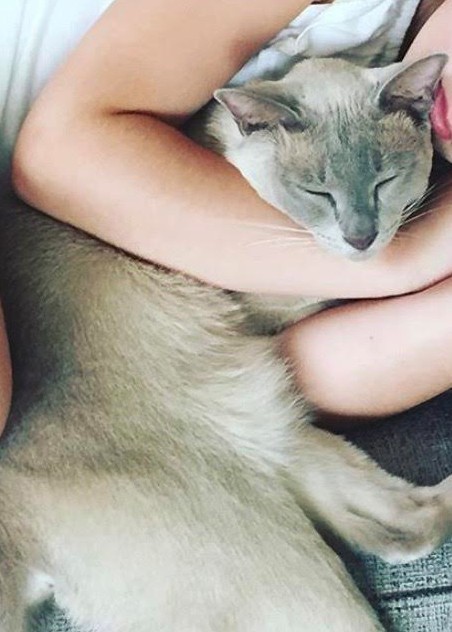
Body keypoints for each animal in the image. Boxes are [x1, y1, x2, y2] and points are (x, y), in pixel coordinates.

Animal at [0, 54, 450, 632]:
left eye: (383, 181)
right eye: (317, 193)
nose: (360, 237)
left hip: (293, 441)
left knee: (407, 528)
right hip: (280, 562)